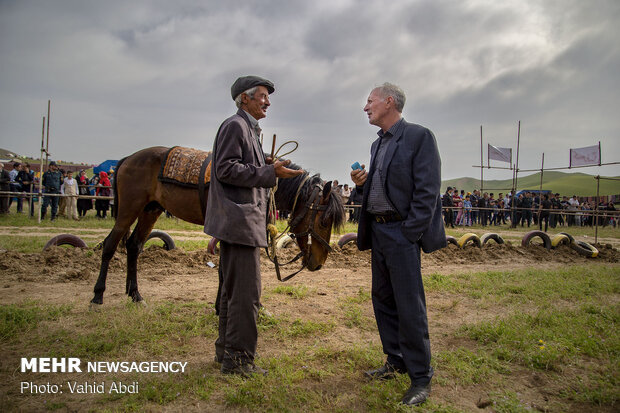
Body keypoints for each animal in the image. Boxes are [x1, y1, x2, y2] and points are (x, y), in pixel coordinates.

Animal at [90, 146, 346, 304]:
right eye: (324, 221)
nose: (319, 263)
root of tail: (127, 159)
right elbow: (226, 271)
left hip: (150, 210)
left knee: (134, 246)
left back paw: (135, 294)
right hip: (128, 210)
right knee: (110, 245)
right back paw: (98, 296)